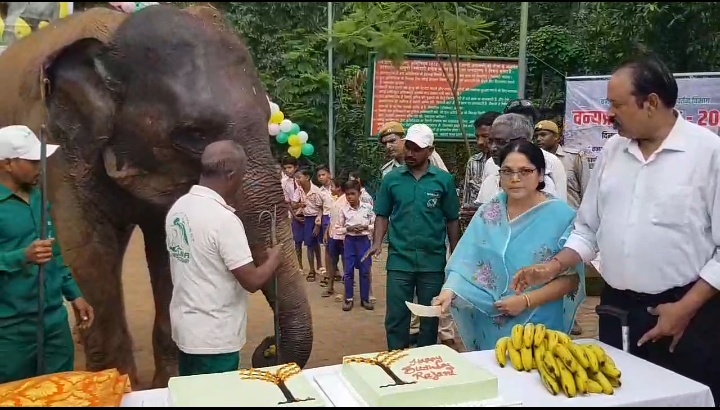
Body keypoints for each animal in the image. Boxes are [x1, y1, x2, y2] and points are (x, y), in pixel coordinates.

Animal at [0, 4, 316, 388]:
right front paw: (122, 385)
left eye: (266, 118)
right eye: (195, 134)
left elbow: (167, 254)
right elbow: (88, 252)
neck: (112, 35)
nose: (268, 347)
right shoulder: (61, 150)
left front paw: (167, 382)